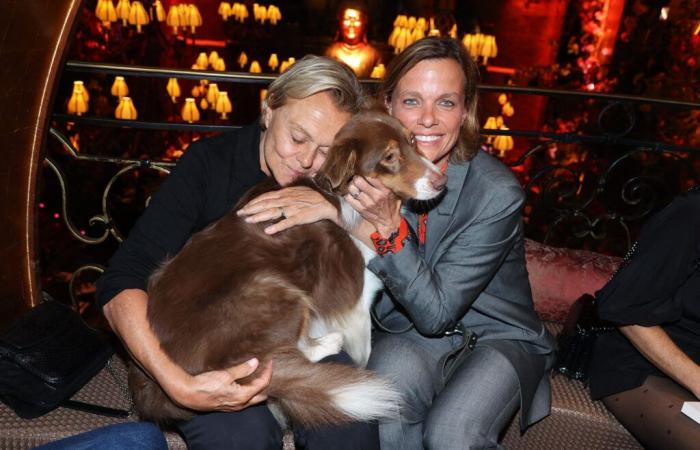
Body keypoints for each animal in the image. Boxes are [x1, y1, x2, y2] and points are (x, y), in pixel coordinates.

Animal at [130, 110, 448, 428]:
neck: (341, 191)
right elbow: (364, 348)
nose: (442, 182)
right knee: (282, 355)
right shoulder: (355, 301)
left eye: (413, 140)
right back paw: (328, 343)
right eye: (390, 157)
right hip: (277, 290)